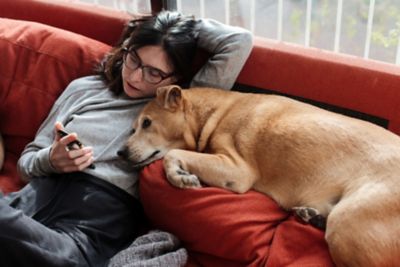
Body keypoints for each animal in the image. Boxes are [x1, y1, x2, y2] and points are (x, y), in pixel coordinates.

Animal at [122, 86, 400, 267]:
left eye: (147, 123)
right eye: (133, 128)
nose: (120, 152)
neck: (215, 112)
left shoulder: (236, 169)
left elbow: (172, 154)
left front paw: (179, 176)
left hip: (348, 223)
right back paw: (312, 216)